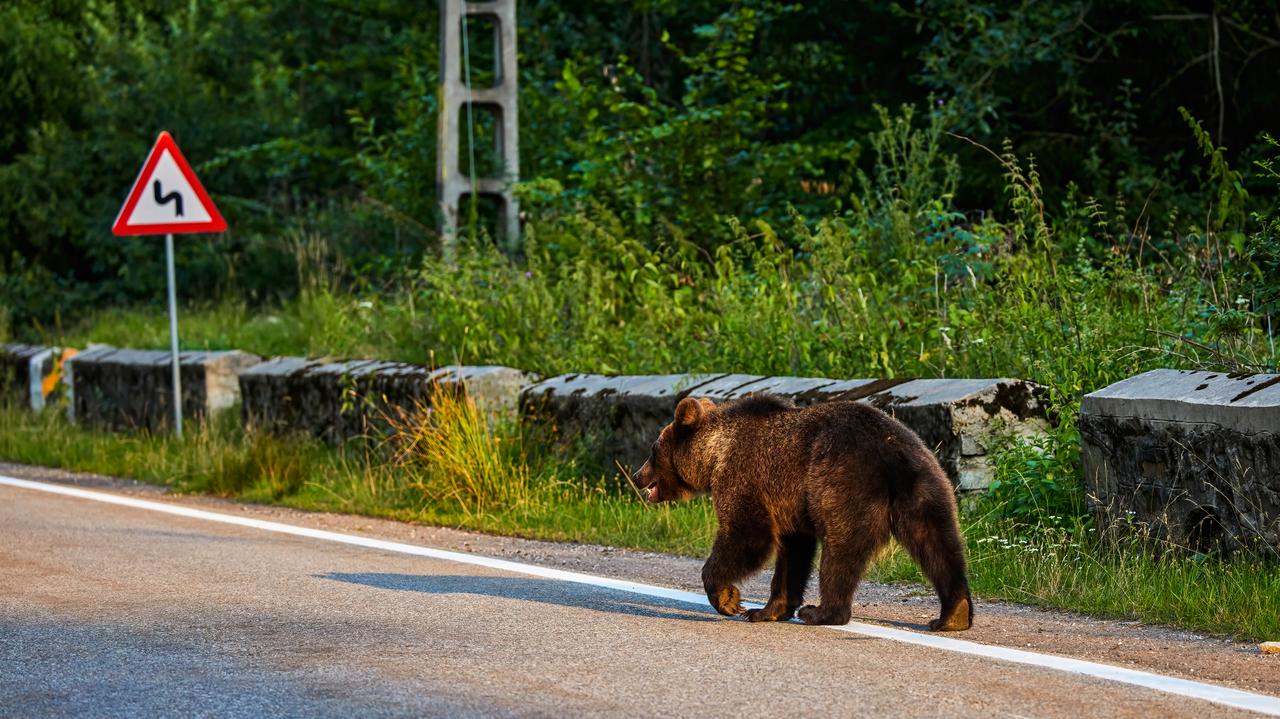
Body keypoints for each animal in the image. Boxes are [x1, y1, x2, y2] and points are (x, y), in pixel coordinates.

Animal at [634, 391, 972, 626]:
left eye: (653, 450)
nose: (637, 476)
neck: (714, 454)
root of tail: (891, 452)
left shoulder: (744, 477)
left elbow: (748, 536)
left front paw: (730, 600)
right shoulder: (787, 502)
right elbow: (793, 553)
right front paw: (766, 610)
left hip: (842, 485)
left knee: (840, 551)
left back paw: (822, 611)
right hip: (927, 486)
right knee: (939, 544)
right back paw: (953, 614)